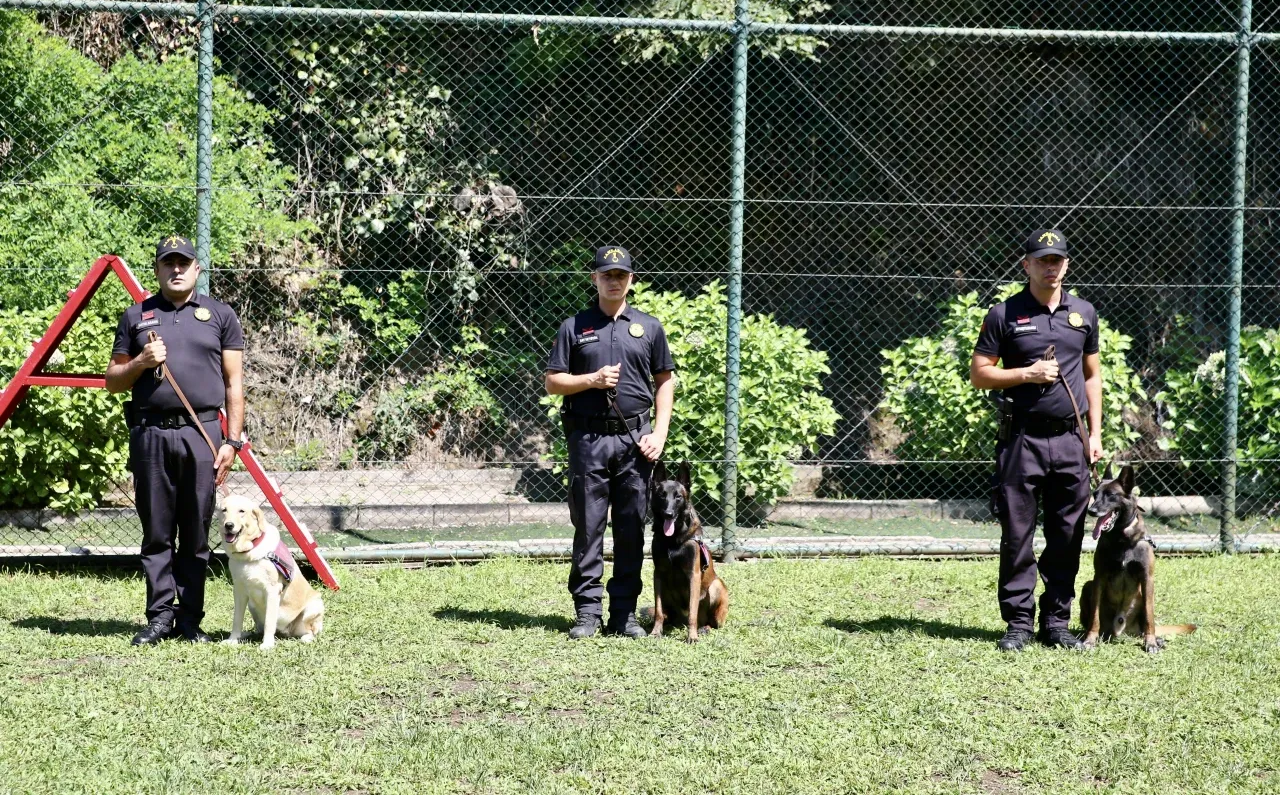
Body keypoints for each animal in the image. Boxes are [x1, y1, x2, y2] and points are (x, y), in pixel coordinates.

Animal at [218, 494, 322, 647]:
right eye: (224, 510)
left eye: (241, 511)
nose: (229, 525)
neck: (249, 551)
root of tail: (286, 632)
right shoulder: (239, 590)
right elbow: (237, 619)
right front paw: (233, 640)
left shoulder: (272, 591)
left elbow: (269, 621)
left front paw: (267, 644)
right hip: (252, 605)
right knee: (258, 629)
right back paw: (246, 634)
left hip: (314, 606)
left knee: (311, 631)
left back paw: (306, 638)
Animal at [650, 460, 732, 642]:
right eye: (662, 496)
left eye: (678, 497)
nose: (668, 514)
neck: (673, 540)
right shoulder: (658, 574)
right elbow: (658, 610)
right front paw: (655, 632)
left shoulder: (693, 575)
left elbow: (692, 613)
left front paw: (692, 636)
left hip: (716, 586)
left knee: (711, 622)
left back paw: (704, 628)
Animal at [1085, 465, 1192, 650]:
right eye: (1095, 494)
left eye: (1111, 495)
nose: (1091, 511)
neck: (1122, 538)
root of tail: (1122, 631)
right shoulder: (1098, 577)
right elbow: (1094, 615)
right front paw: (1090, 639)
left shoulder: (1147, 578)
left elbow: (1150, 616)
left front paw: (1151, 642)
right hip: (1088, 586)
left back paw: (1155, 639)